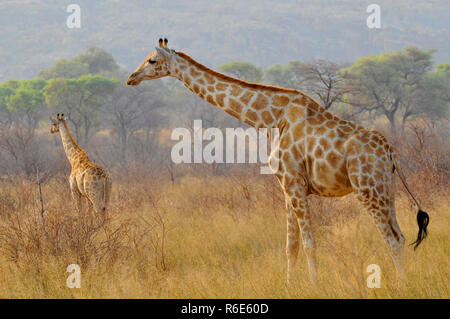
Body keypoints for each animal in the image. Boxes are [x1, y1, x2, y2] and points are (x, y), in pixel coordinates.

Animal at [126, 38, 428, 286]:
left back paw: (401, 286)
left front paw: (315, 287)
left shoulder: (294, 184)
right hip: (386, 190)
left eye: (151, 60)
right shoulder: (286, 187)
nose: (131, 78)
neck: (270, 120)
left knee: (392, 239)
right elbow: (290, 246)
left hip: (367, 189)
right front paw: (289, 286)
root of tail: (391, 154)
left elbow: (309, 243)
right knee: (401, 236)